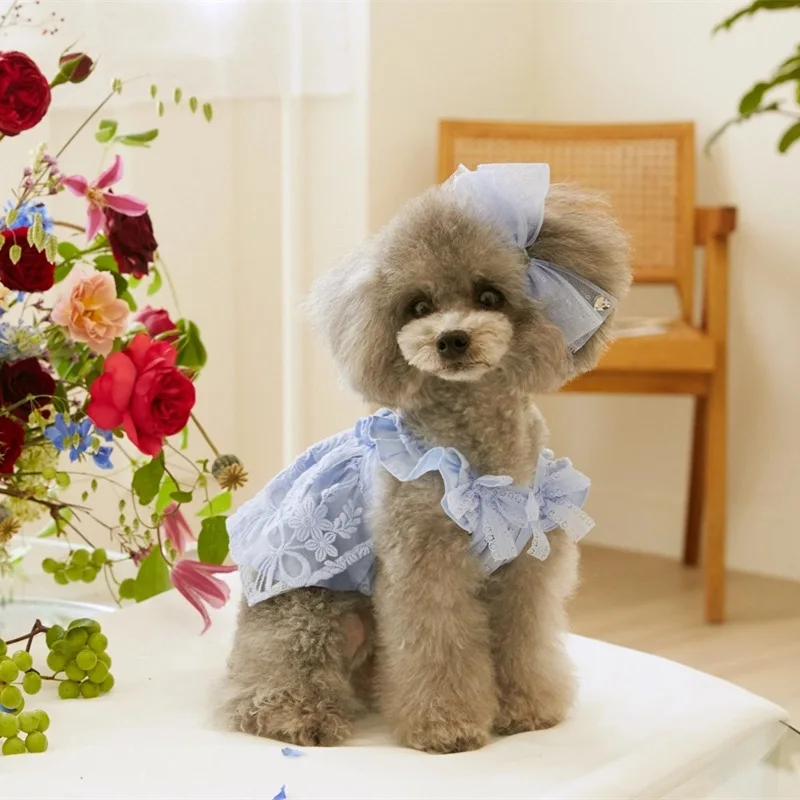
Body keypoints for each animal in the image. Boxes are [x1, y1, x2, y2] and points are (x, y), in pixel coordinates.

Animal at [221, 164, 631, 754]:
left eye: (490, 295)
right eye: (417, 306)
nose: (451, 338)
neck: (479, 460)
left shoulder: (524, 568)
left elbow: (523, 642)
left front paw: (527, 709)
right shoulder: (426, 564)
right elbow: (440, 647)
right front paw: (448, 726)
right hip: (307, 611)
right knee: (271, 678)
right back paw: (300, 717)